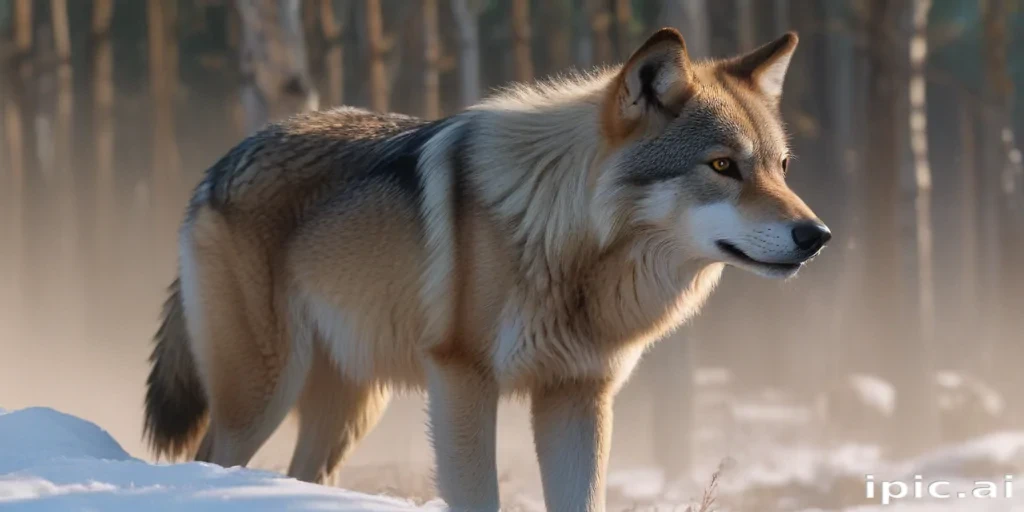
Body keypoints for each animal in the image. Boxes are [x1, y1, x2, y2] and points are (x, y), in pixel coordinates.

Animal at [144, 28, 830, 512]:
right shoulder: (463, 380)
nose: (817, 236)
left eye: (782, 167)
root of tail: (218, 167)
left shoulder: (577, 395)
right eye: (722, 166)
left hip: (351, 407)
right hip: (260, 396)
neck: (560, 239)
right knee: (207, 459)